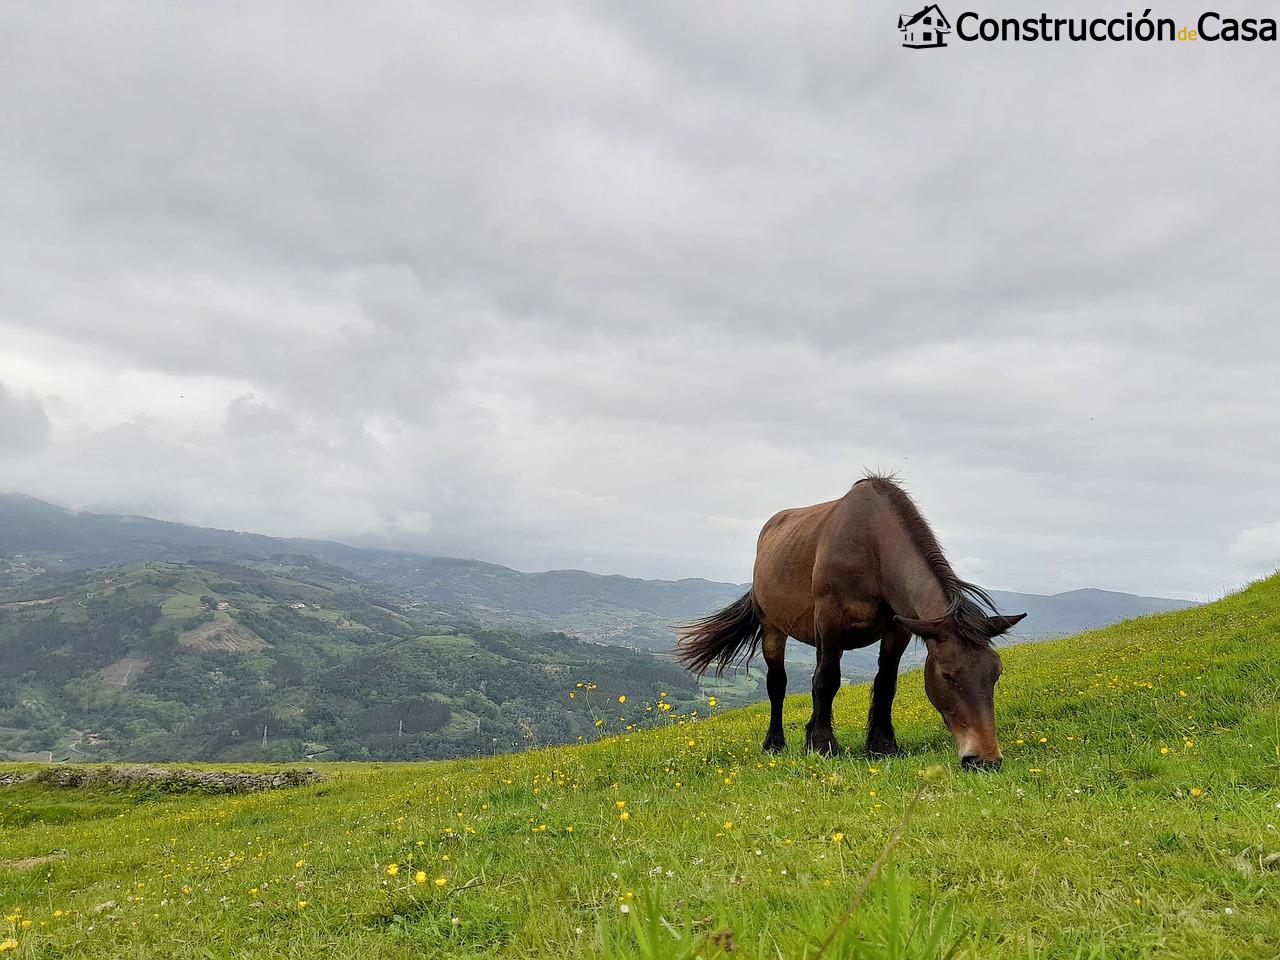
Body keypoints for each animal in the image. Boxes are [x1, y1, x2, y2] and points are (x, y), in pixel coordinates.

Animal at [675, 478, 1024, 773]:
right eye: (948, 676)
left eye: (995, 674)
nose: (985, 759)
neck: (872, 546)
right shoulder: (830, 620)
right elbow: (827, 680)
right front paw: (823, 745)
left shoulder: (896, 629)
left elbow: (885, 684)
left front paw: (881, 745)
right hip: (773, 625)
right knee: (778, 684)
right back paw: (775, 743)